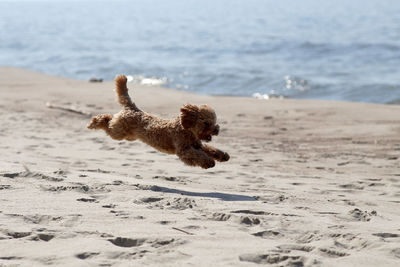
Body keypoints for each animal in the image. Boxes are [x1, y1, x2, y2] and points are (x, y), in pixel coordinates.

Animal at [87, 74, 231, 169]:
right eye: (206, 123)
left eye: (214, 121)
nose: (216, 130)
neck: (185, 129)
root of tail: (133, 108)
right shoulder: (184, 151)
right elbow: (198, 156)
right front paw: (208, 162)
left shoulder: (198, 146)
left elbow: (210, 149)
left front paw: (222, 155)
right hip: (117, 132)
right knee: (106, 120)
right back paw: (93, 122)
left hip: (129, 136)